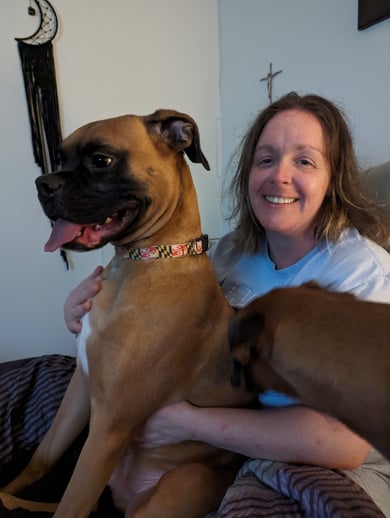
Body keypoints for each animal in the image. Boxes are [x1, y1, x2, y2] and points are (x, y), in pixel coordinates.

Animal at [0, 111, 250, 516]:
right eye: (61, 157)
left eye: (101, 160)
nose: (43, 183)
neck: (145, 260)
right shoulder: (81, 391)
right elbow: (44, 456)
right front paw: (12, 486)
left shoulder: (107, 428)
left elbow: (69, 506)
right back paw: (8, 497)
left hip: (179, 484)